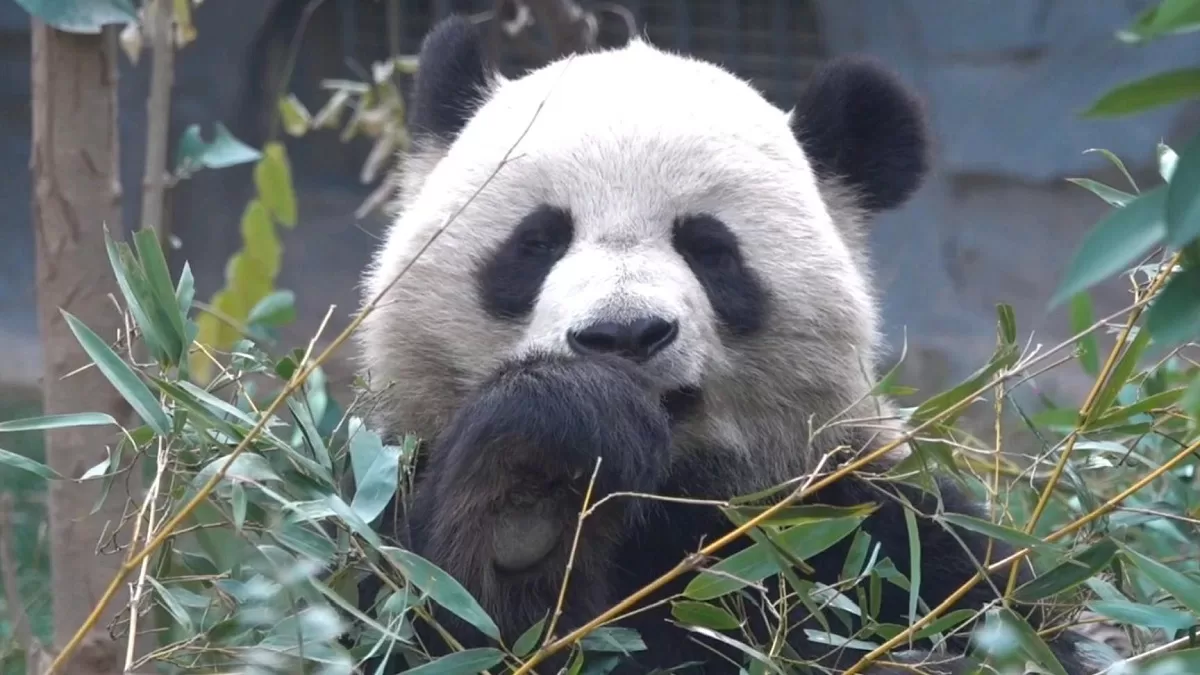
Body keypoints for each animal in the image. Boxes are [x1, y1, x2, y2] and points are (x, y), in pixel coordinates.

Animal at [352, 15, 1109, 675]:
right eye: (537, 241)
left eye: (710, 248)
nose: (624, 332)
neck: (666, 500)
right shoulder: (381, 482)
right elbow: (435, 623)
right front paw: (538, 483)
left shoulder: (867, 523)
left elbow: (982, 623)